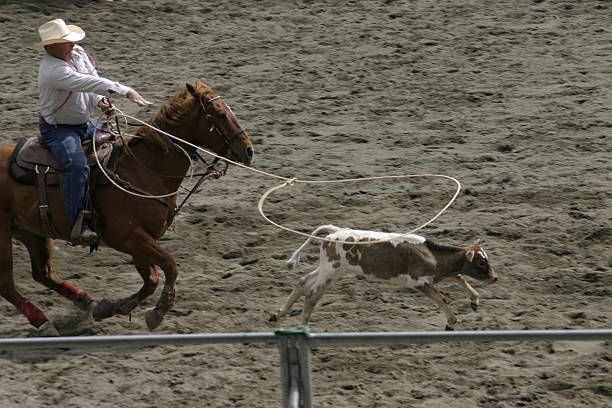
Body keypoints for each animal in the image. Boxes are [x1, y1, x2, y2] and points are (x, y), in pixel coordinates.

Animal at [0, 79, 253, 334]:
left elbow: (151, 279)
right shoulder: (128, 237)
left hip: (32, 231)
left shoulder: (141, 238)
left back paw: (86, 303)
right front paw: (157, 312)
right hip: (5, 237)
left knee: (44, 274)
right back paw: (44, 323)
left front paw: (110, 308)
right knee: (7, 285)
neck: (143, 168)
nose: (249, 150)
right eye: (220, 114)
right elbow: (170, 266)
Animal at [272, 225, 498, 330]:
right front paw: (451, 322)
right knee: (311, 294)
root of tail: (336, 232)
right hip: (331, 272)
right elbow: (441, 299)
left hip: (330, 270)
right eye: (481, 262)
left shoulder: (438, 275)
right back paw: (303, 326)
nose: (494, 278)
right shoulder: (420, 283)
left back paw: (278, 314)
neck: (432, 254)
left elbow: (459, 276)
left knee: (302, 282)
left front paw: (475, 300)